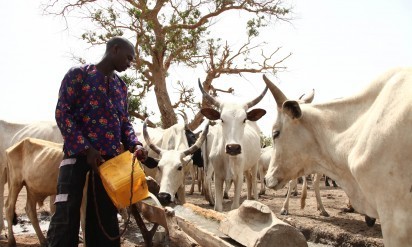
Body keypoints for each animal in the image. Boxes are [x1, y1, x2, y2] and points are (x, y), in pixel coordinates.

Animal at [199, 80, 268, 211]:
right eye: (221, 119)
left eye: (244, 119)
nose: (233, 148)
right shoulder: (218, 177)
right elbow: (218, 207)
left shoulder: (238, 177)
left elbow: (235, 206)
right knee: (249, 179)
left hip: (255, 164)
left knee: (254, 182)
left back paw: (255, 200)